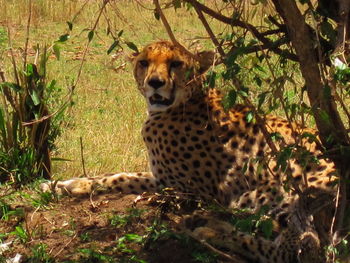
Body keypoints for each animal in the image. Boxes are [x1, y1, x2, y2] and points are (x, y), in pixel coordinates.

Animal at [41, 40, 336, 262]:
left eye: (176, 64)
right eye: (144, 62)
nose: (155, 82)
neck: (186, 100)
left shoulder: (190, 190)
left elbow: (126, 181)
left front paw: (69, 186)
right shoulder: (161, 176)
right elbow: (119, 176)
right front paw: (64, 185)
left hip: (263, 192)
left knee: (275, 248)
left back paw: (206, 229)